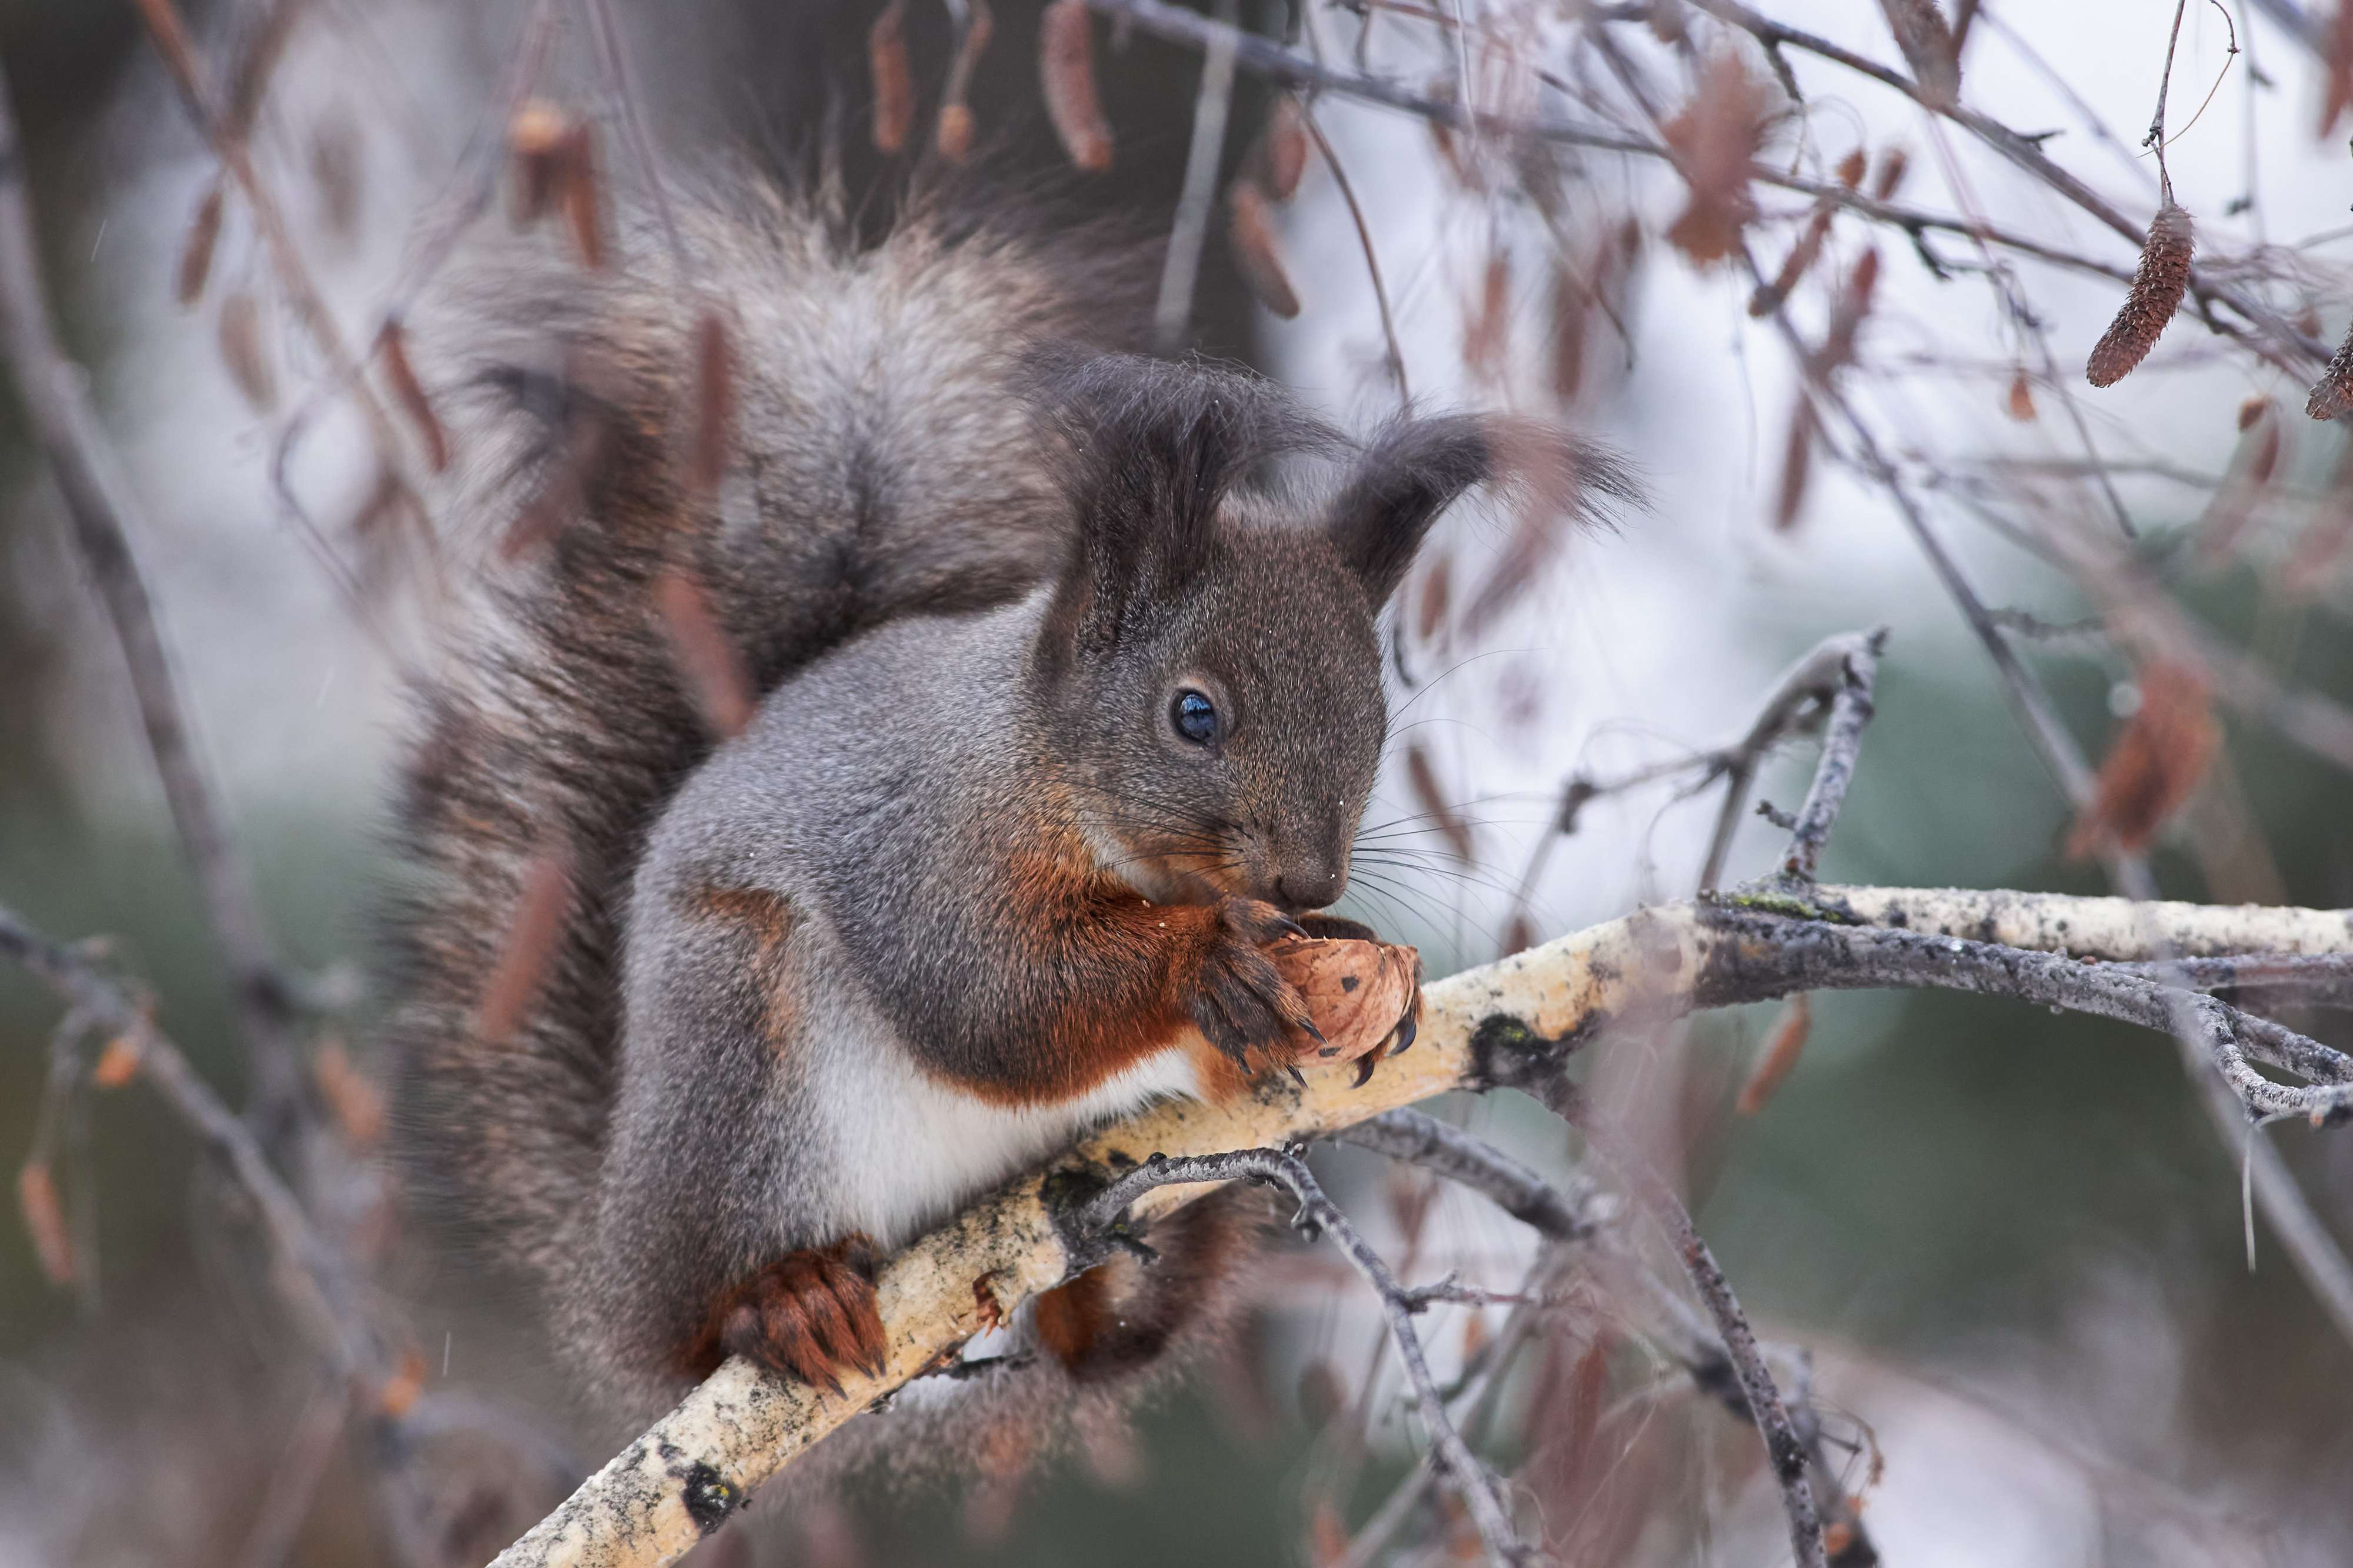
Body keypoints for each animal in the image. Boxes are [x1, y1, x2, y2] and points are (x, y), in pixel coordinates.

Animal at [391, 168, 1638, 1431]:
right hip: (731, 1054)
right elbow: (989, 995)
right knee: (705, 1310)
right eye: (1195, 715)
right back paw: (782, 1299)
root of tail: (614, 1258)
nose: (1307, 881)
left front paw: (1360, 969)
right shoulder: (928, 840)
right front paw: (1209, 961)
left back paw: (1124, 1283)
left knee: (1085, 1338)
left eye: (1378, 720)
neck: (1057, 776)